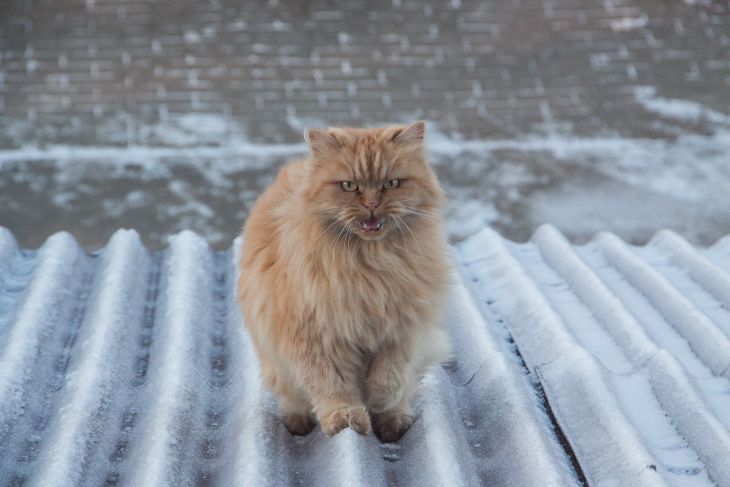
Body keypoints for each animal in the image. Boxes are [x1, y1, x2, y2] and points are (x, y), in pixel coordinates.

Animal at [236, 122, 450, 442]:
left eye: (391, 183)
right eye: (349, 186)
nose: (372, 204)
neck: (371, 265)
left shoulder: (404, 328)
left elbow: (390, 375)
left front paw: (378, 400)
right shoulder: (316, 337)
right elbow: (333, 388)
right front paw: (346, 420)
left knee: (404, 393)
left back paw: (393, 421)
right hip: (277, 367)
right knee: (294, 398)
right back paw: (298, 422)